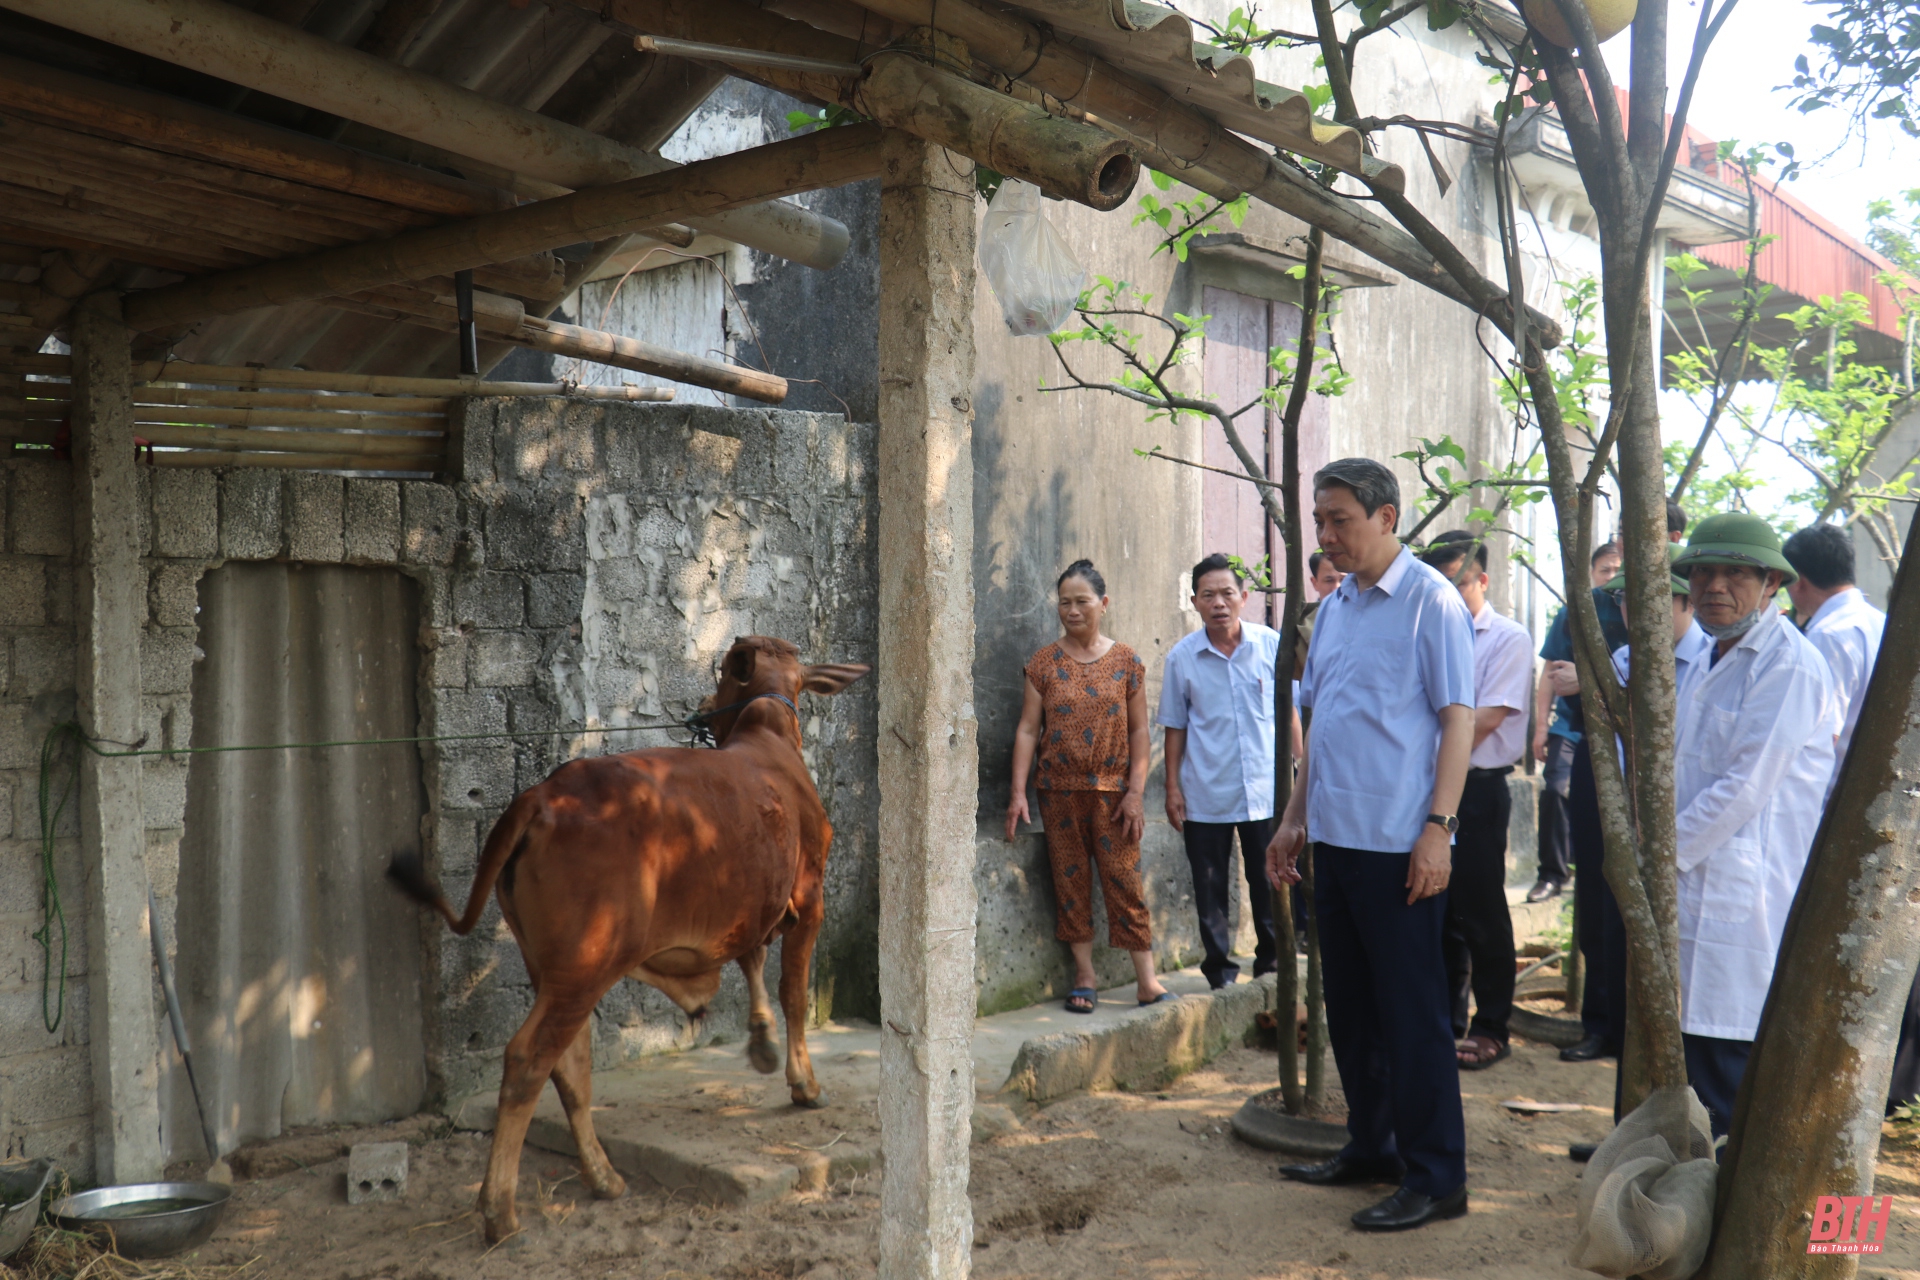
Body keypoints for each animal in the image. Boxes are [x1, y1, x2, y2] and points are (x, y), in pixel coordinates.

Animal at [389, 637, 871, 1243]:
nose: (703, 707)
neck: (767, 733)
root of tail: (543, 796)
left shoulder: (751, 903)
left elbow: (753, 960)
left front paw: (762, 1042)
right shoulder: (809, 897)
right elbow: (794, 994)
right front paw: (803, 1083)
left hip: (554, 968)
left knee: (568, 1064)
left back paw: (602, 1177)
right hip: (587, 963)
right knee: (529, 1059)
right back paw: (500, 1209)